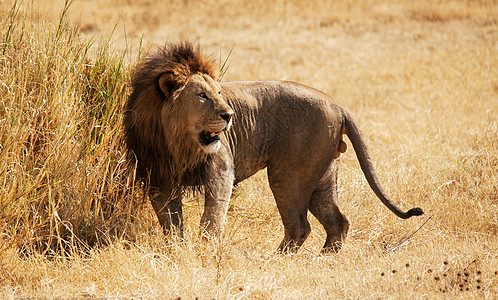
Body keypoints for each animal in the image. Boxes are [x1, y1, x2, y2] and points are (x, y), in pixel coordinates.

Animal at [124, 42, 424, 253]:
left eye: (218, 93)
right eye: (201, 96)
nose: (229, 115)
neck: (175, 143)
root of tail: (338, 104)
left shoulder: (220, 169)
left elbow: (212, 217)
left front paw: (205, 250)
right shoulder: (158, 179)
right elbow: (170, 224)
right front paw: (176, 251)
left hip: (288, 175)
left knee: (300, 226)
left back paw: (272, 260)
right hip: (322, 176)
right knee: (338, 221)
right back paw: (323, 258)